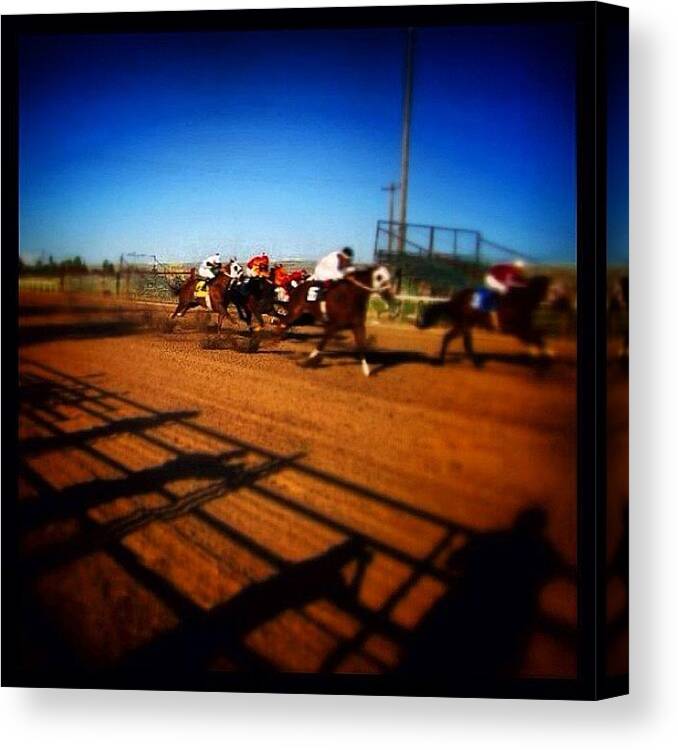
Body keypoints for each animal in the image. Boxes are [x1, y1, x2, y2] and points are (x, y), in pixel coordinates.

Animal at [420, 278, 556, 368]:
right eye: (554, 289)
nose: (557, 303)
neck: (520, 301)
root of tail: (454, 299)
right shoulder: (518, 328)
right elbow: (537, 338)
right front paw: (543, 360)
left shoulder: (523, 328)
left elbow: (537, 338)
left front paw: (541, 355)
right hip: (465, 323)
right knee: (465, 342)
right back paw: (475, 363)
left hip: (464, 324)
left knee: (449, 338)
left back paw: (443, 360)